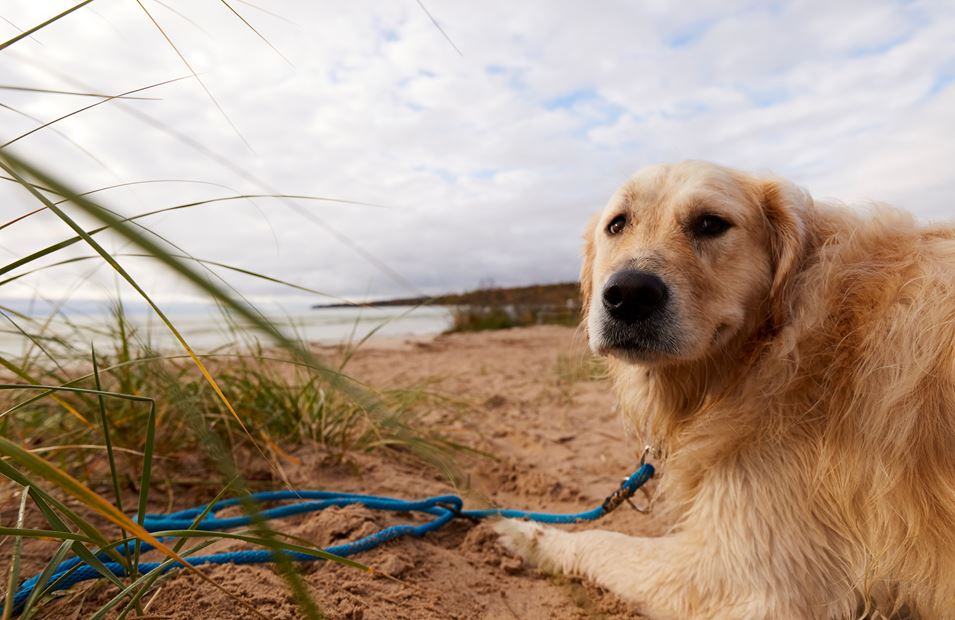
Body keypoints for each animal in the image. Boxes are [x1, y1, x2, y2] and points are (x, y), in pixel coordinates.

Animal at [496, 161, 955, 620]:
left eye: (711, 224)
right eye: (617, 224)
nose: (628, 294)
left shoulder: (743, 579)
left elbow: (603, 541)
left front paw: (527, 533)